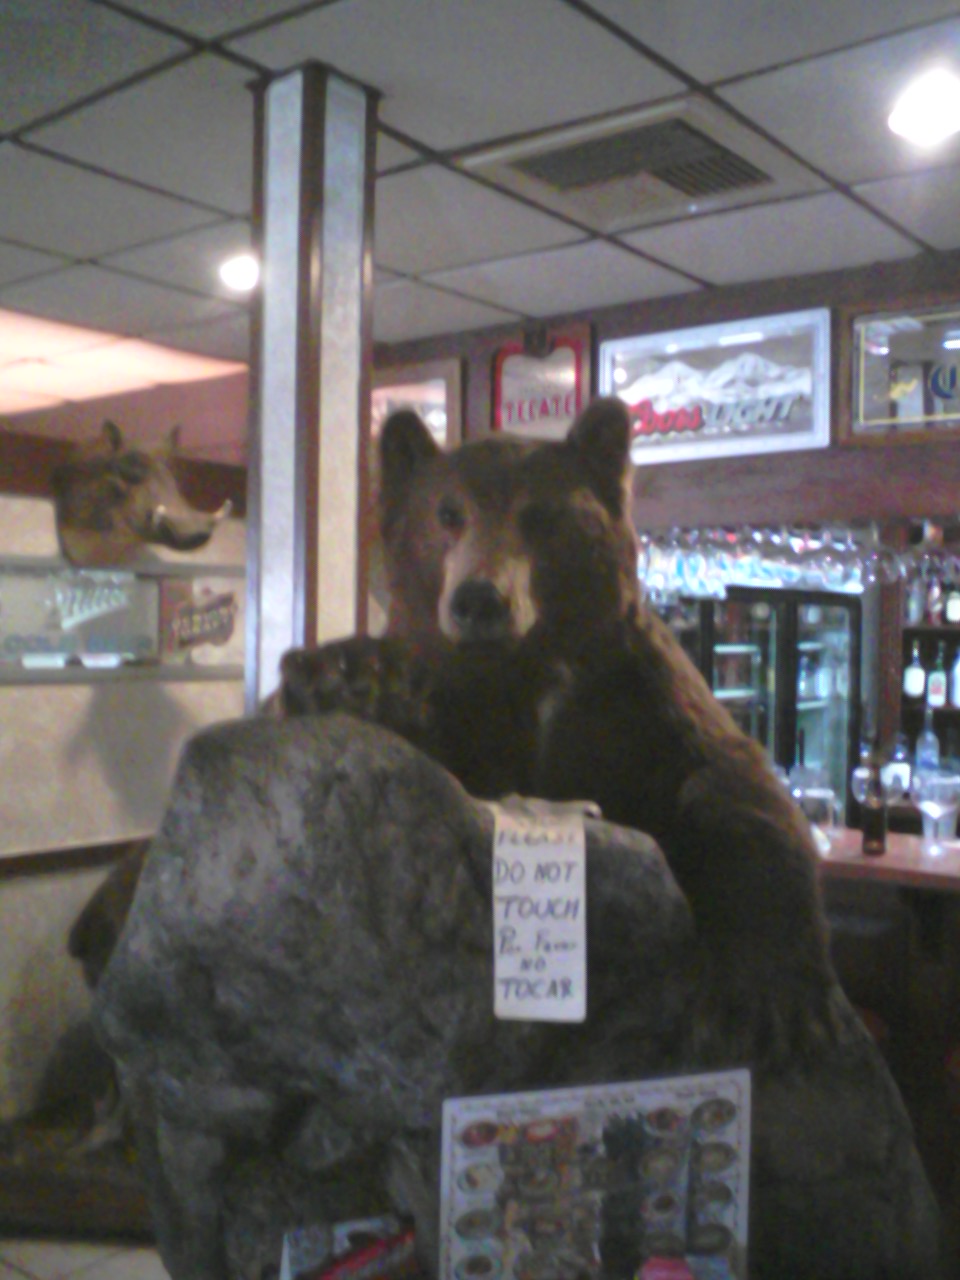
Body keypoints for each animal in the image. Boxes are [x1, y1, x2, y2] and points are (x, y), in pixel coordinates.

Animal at [278, 397, 840, 1069]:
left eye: (541, 513)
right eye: (447, 511)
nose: (479, 599)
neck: (526, 669)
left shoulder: (640, 700)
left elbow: (734, 782)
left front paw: (763, 1004)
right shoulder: (469, 712)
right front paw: (346, 678)